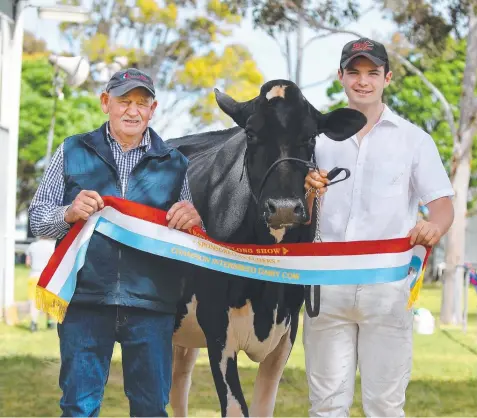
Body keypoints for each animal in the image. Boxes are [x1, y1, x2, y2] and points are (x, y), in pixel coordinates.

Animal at [167, 80, 364, 416]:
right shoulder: (216, 326)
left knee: (179, 386)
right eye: (250, 132)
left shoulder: (286, 331)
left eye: (311, 136)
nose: (283, 208)